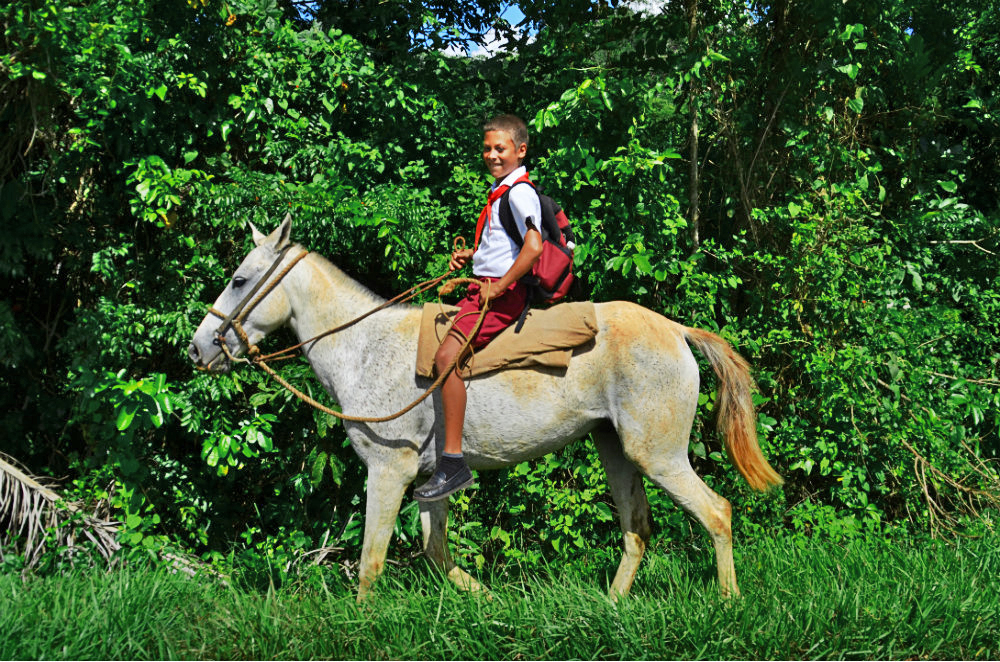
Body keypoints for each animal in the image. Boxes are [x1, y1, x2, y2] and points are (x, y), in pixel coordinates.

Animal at [188, 219, 780, 600]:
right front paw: (489, 602)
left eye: (240, 279)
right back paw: (611, 607)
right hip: (616, 450)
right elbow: (435, 551)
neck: (364, 347)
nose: (197, 349)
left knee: (717, 512)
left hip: (658, 454)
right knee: (637, 528)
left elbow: (371, 562)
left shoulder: (388, 472)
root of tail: (677, 330)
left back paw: (728, 603)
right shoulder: (429, 481)